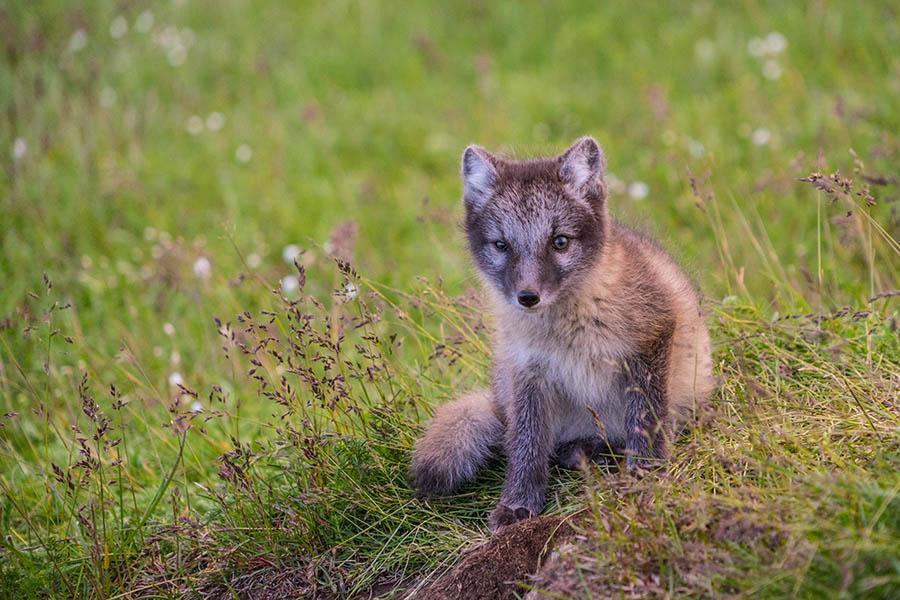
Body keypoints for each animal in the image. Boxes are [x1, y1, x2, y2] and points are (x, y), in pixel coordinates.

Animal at [410, 136, 715, 531]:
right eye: (501, 245)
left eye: (559, 241)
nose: (527, 296)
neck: (567, 331)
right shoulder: (528, 371)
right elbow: (526, 444)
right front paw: (518, 505)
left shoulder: (652, 336)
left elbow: (644, 420)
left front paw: (644, 475)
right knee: (535, 441)